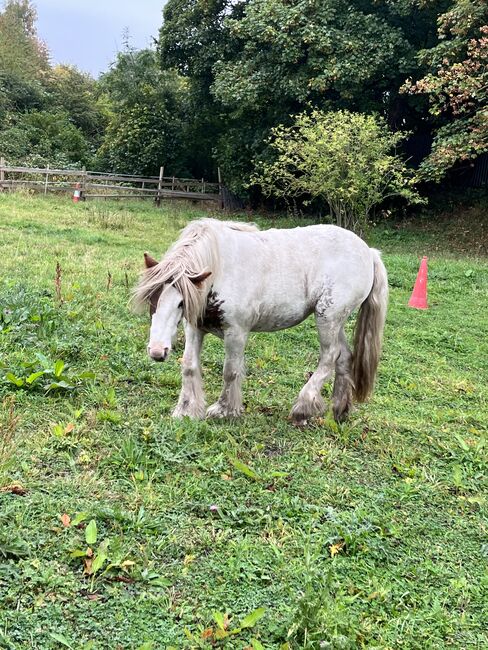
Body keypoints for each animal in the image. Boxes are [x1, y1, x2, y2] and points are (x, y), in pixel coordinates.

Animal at [133, 218, 388, 422]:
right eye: (151, 299)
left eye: (180, 303)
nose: (157, 351)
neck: (220, 269)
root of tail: (369, 252)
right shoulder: (195, 327)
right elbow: (189, 366)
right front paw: (186, 410)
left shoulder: (236, 332)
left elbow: (230, 370)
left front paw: (225, 410)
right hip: (336, 321)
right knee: (344, 357)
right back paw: (339, 409)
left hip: (328, 318)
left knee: (329, 357)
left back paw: (303, 407)